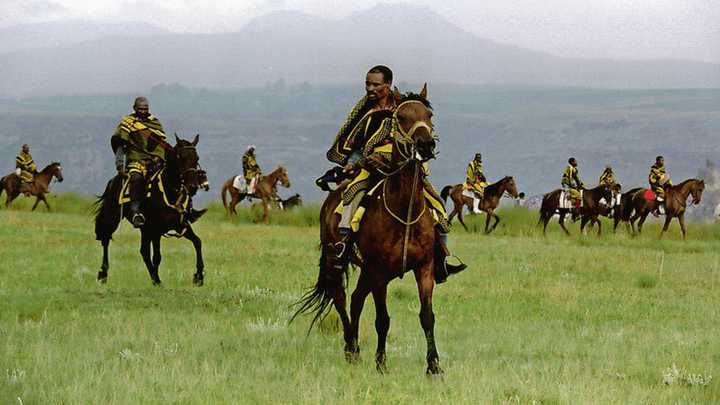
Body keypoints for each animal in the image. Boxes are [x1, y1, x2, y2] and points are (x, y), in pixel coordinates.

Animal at [93, 134, 208, 286]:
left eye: (197, 158)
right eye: (180, 157)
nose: (192, 187)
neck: (169, 191)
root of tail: (114, 180)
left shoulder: (180, 225)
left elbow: (197, 242)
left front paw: (199, 276)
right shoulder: (156, 230)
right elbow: (157, 256)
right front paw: (157, 280)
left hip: (144, 229)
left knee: (144, 252)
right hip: (113, 218)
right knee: (106, 239)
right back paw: (103, 274)